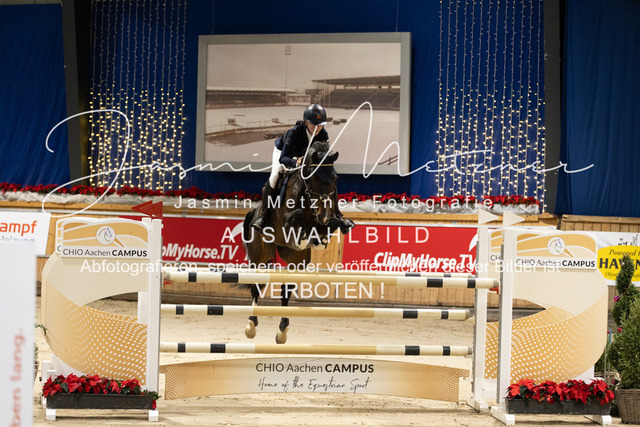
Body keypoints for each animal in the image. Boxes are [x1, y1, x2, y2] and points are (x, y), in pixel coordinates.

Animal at [241, 140, 341, 343]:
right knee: (256, 286)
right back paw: (251, 326)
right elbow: (298, 215)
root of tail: (254, 212)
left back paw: (282, 330)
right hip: (261, 256)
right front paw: (303, 237)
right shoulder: (287, 221)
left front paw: (321, 237)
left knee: (286, 290)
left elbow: (330, 226)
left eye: (335, 178)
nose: (324, 216)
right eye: (314, 177)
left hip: (294, 260)